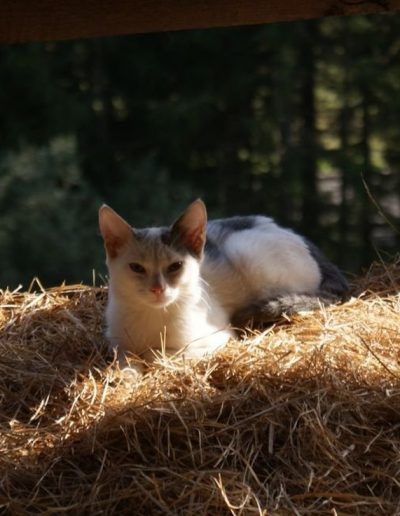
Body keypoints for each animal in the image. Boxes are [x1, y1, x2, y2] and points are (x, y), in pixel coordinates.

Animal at [98, 198, 348, 362]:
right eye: (137, 268)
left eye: (175, 266)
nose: (157, 289)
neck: (152, 317)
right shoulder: (116, 343)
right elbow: (124, 359)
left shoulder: (218, 339)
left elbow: (157, 354)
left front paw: (147, 356)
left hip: (245, 250)